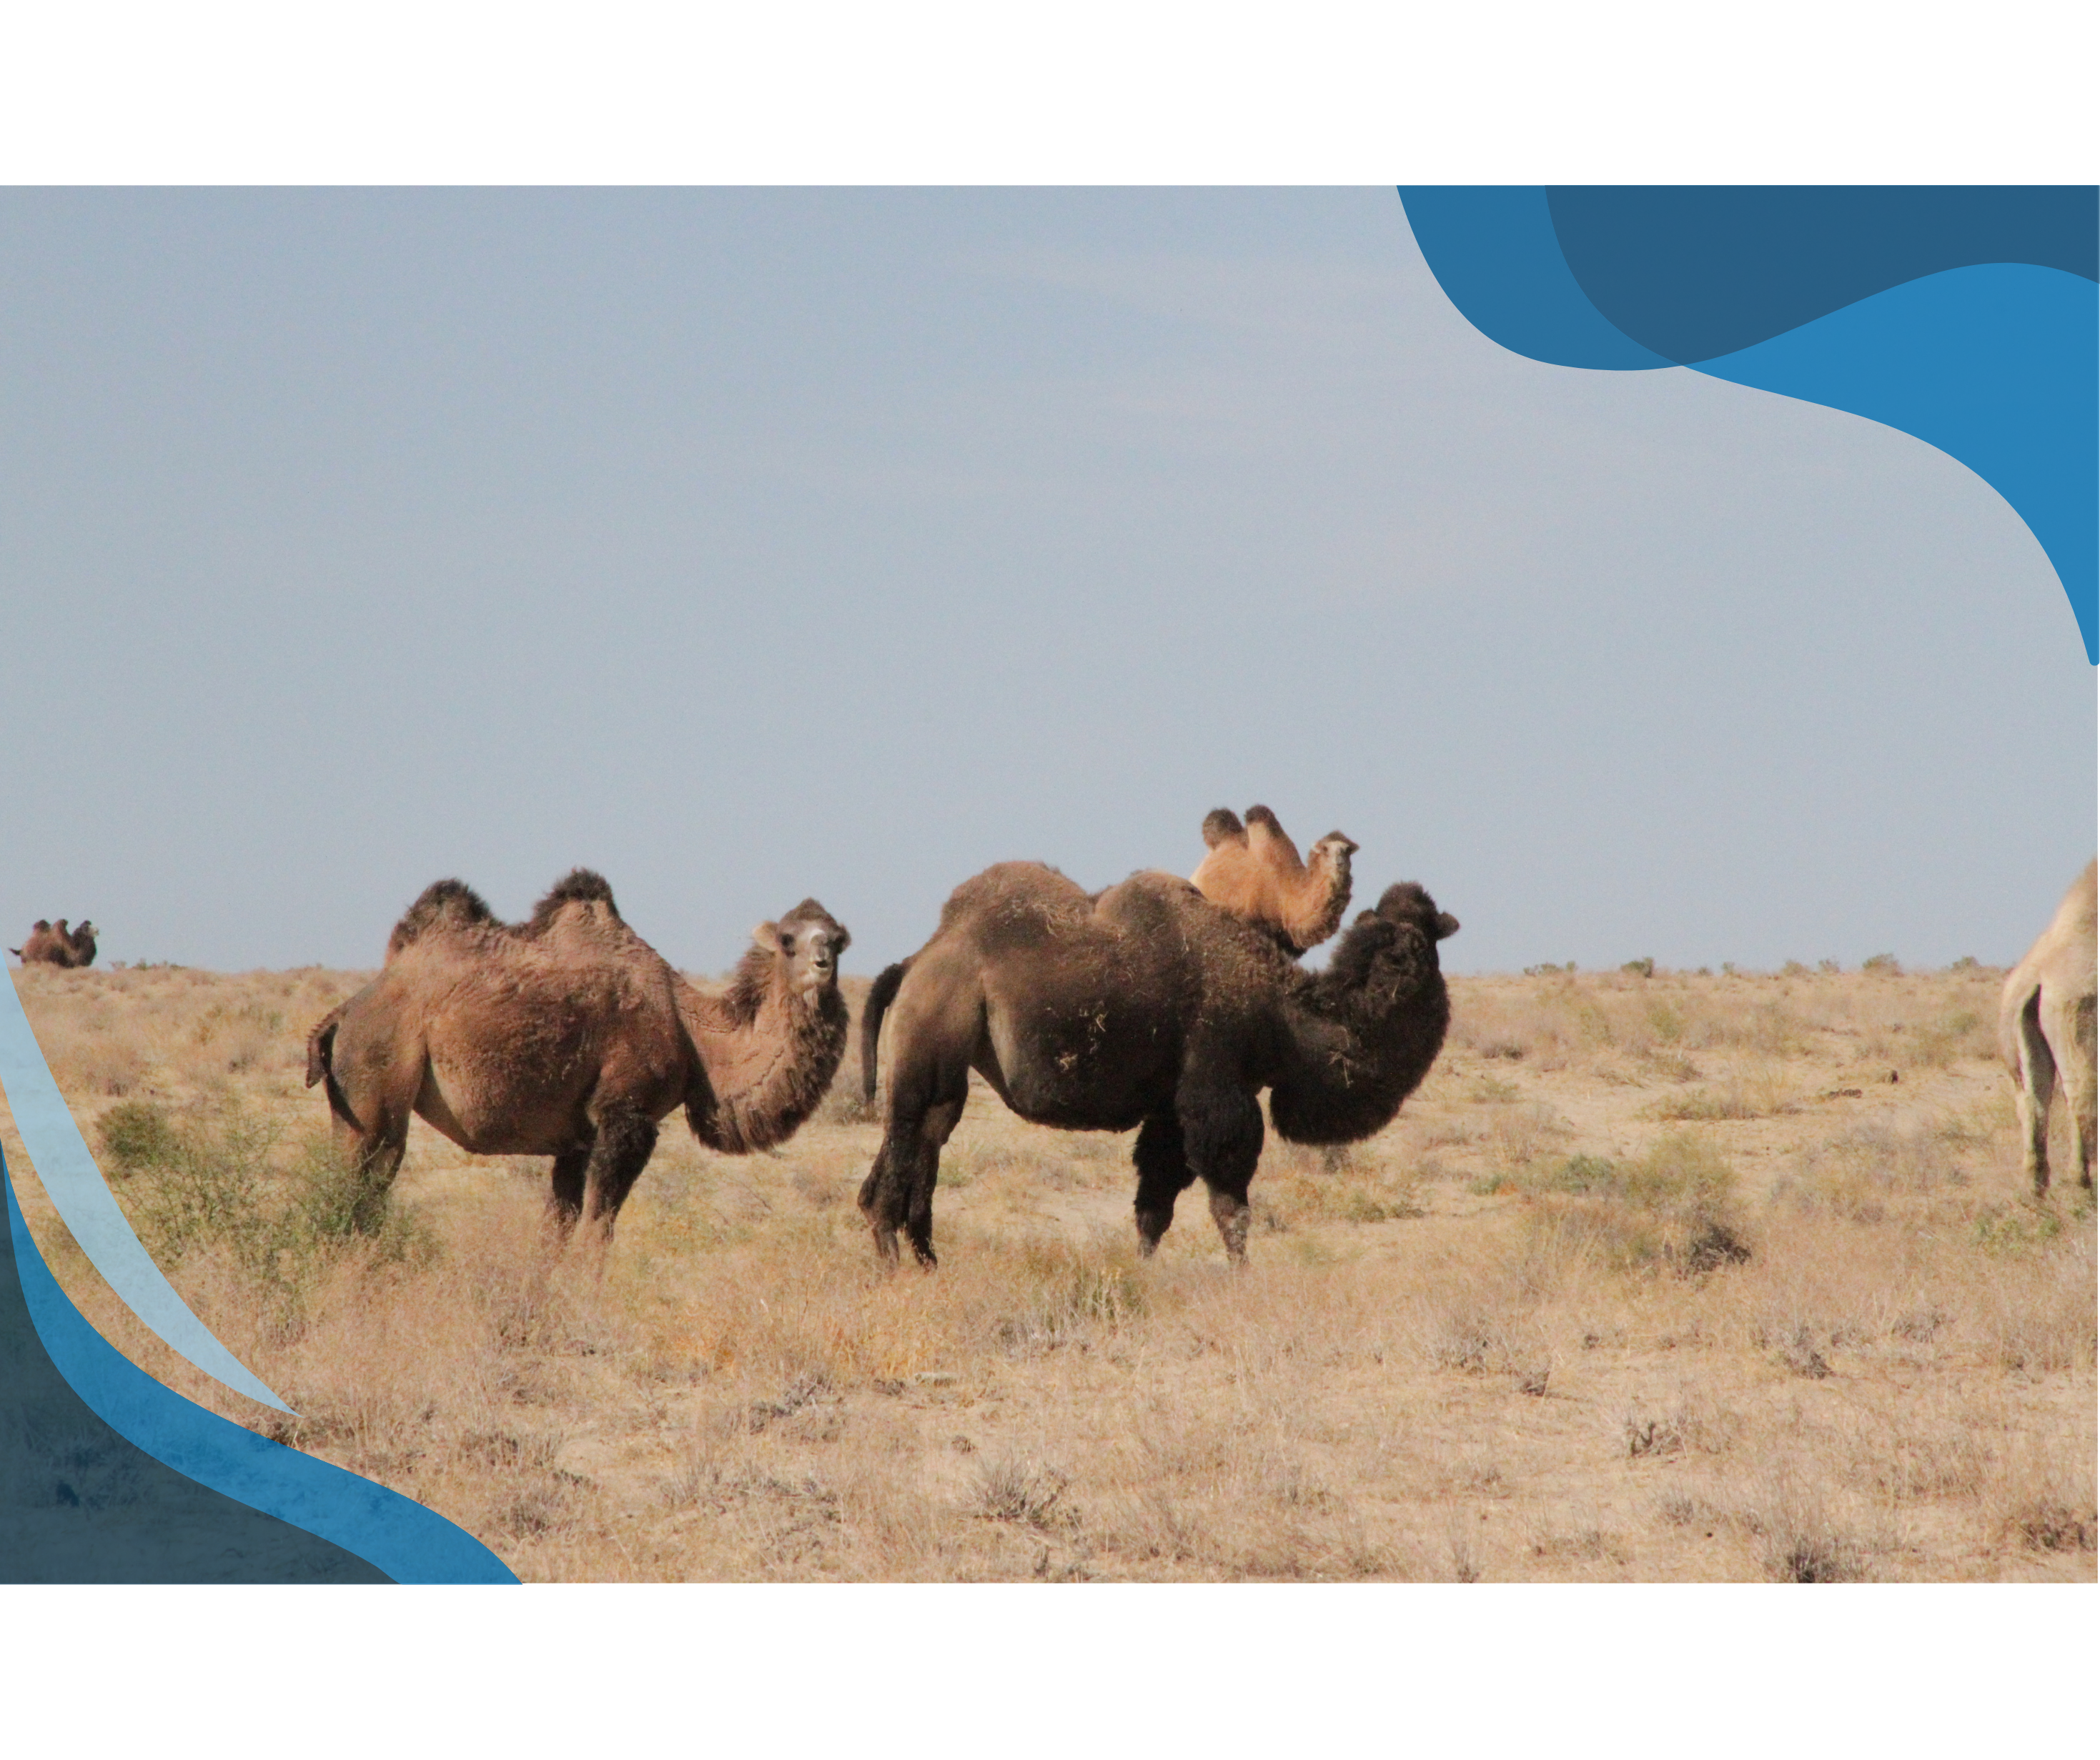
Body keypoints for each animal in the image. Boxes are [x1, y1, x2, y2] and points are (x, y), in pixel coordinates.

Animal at [305, 870, 850, 1238]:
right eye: (788, 939)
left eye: (839, 938)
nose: (823, 962)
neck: (694, 1035)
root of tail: (342, 1014)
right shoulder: (626, 1115)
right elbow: (597, 1226)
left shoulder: (577, 1136)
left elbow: (558, 1229)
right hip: (377, 1078)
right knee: (363, 1186)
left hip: (351, 1103)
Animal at [856, 862, 1457, 1268]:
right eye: (1402, 948)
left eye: (1417, 937)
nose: (1412, 967)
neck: (1282, 1018)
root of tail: (914, 963)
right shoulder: (1218, 1090)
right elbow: (1230, 1203)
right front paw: (1241, 1276)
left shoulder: (1169, 1109)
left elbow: (1154, 1205)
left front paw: (1143, 1271)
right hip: (929, 1045)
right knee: (901, 1155)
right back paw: (895, 1266)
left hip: (942, 1071)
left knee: (916, 1149)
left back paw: (927, 1262)